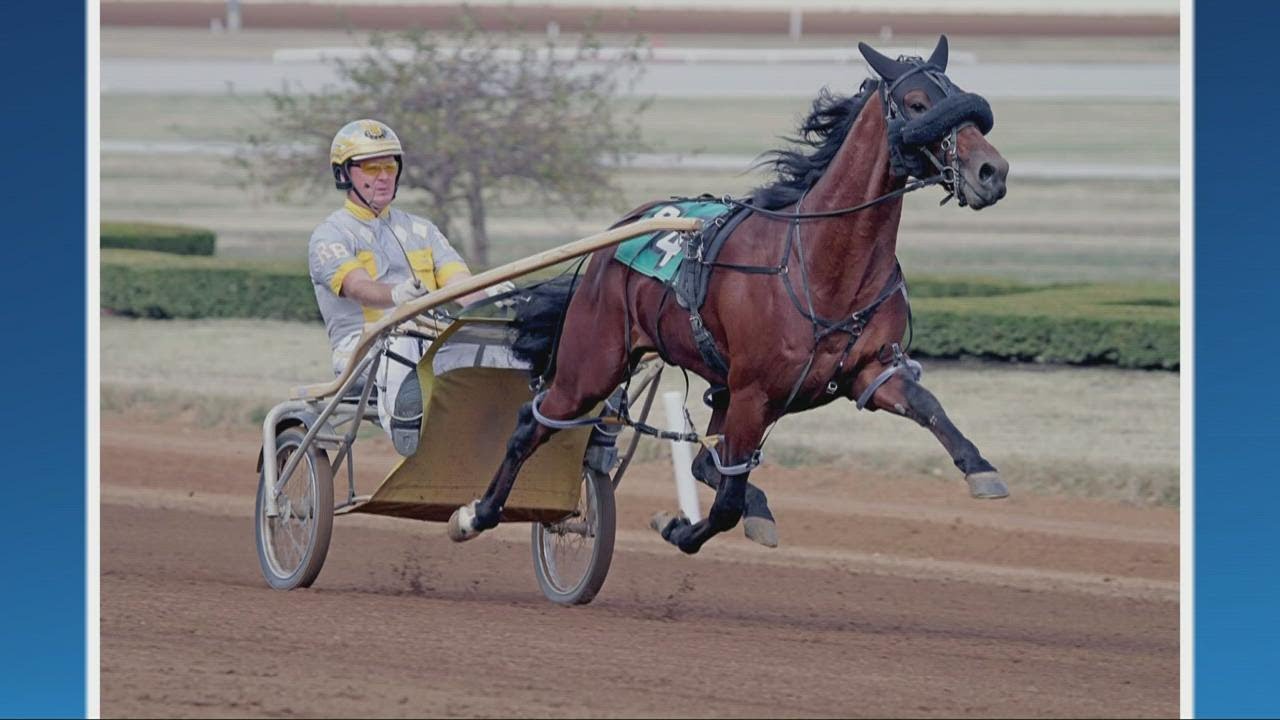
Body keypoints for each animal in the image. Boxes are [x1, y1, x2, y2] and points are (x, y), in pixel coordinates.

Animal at [449, 36, 1011, 555]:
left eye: (962, 98)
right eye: (917, 104)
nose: (993, 172)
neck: (822, 264)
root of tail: (619, 232)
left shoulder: (869, 370)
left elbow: (927, 404)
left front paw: (981, 469)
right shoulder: (753, 393)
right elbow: (725, 506)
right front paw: (679, 527)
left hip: (712, 385)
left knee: (704, 459)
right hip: (593, 362)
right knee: (534, 422)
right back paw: (476, 513)